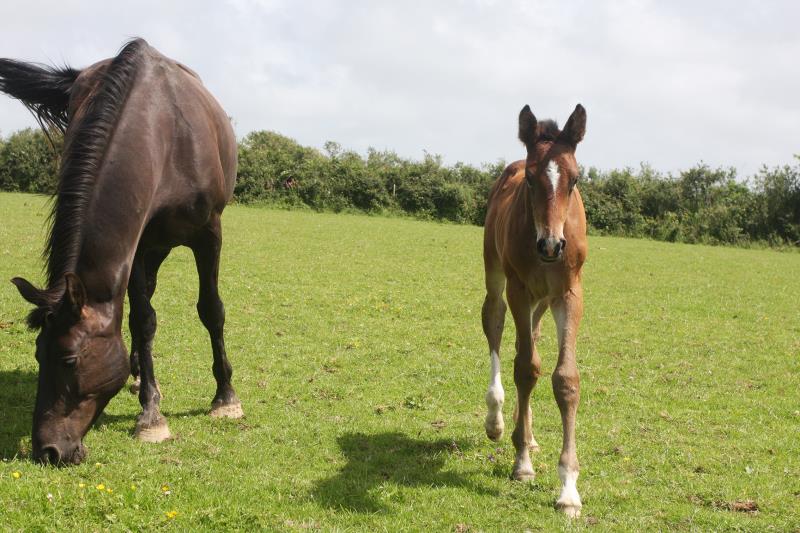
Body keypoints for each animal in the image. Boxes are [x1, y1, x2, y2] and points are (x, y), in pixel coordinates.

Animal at [0, 37, 244, 464]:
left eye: (68, 358)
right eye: (37, 354)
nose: (48, 450)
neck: (166, 134)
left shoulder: (208, 233)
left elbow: (211, 310)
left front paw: (225, 398)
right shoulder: (138, 243)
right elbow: (142, 321)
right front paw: (151, 414)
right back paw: (140, 376)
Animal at [482, 103, 588, 516]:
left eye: (575, 179)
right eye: (529, 179)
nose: (551, 245)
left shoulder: (570, 294)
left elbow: (564, 378)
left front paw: (569, 490)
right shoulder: (520, 289)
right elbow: (526, 370)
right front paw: (522, 463)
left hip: (542, 303)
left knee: (531, 343)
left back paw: (525, 433)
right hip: (499, 281)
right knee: (495, 328)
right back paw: (497, 422)